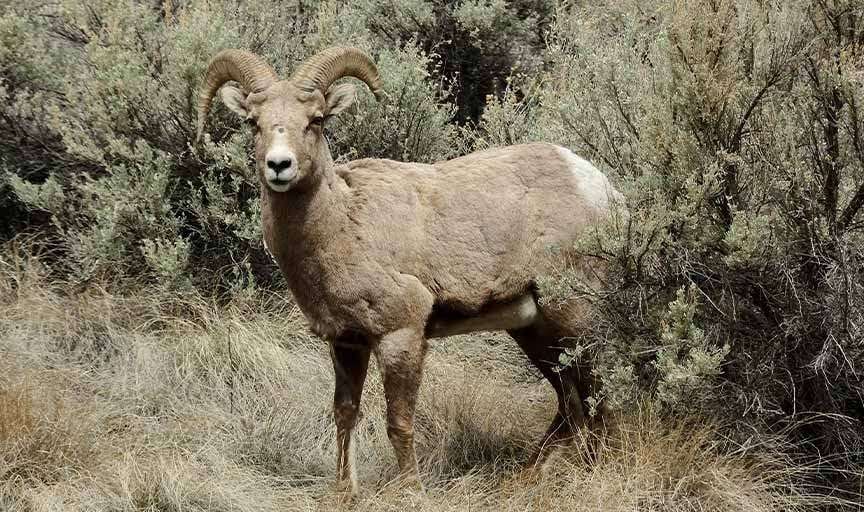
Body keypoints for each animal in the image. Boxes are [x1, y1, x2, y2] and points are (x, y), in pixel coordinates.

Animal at [197, 46, 624, 495]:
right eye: (253, 122)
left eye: (316, 120)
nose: (280, 165)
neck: (341, 225)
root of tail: (600, 188)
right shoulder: (347, 342)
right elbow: (344, 414)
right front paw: (344, 493)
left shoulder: (400, 335)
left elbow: (398, 423)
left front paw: (411, 490)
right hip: (533, 330)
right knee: (569, 401)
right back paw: (525, 478)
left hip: (573, 316)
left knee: (595, 393)